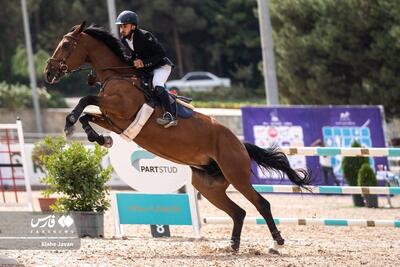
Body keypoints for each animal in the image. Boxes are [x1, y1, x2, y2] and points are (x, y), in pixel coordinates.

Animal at [44, 22, 312, 252]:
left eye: (66, 44)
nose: (48, 72)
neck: (117, 76)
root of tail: (239, 143)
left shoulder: (119, 108)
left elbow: (85, 100)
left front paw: (69, 122)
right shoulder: (113, 120)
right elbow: (87, 115)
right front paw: (99, 138)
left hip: (236, 175)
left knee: (261, 204)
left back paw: (276, 242)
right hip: (208, 185)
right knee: (238, 212)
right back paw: (233, 245)